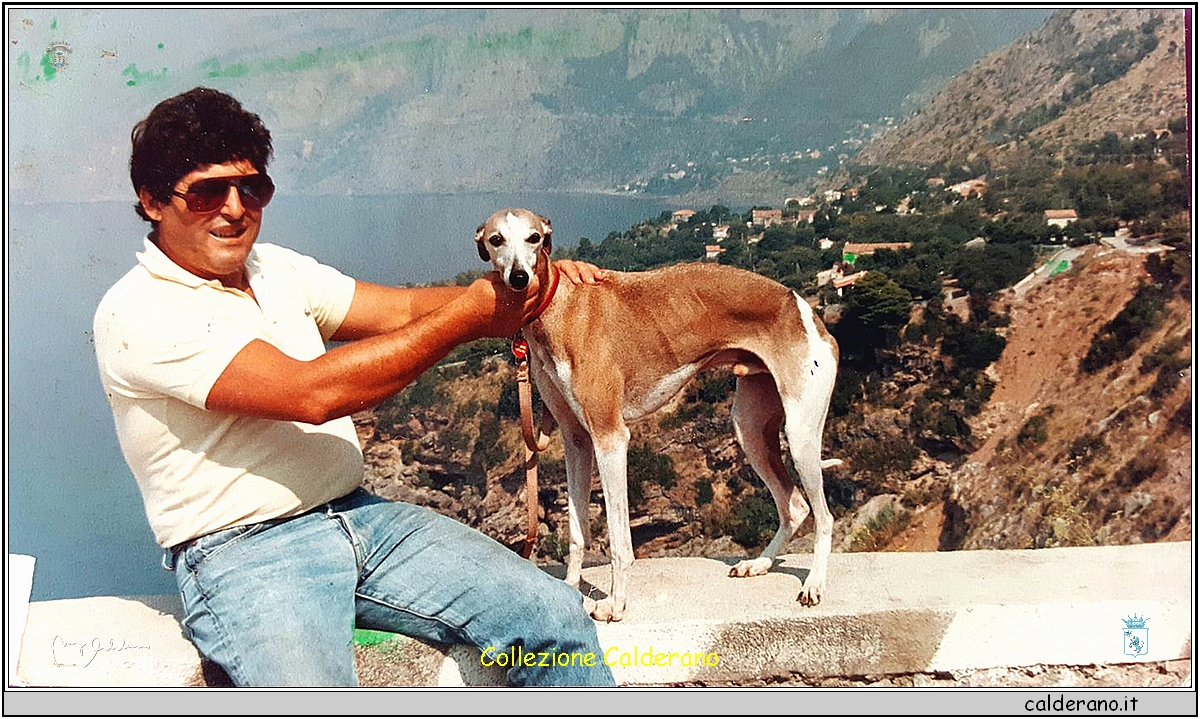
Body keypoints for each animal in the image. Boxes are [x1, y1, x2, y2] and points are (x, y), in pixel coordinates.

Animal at [472, 210, 840, 624]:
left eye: (534, 238)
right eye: (496, 240)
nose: (519, 277)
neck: (561, 309)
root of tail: (801, 307)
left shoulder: (610, 438)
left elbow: (619, 541)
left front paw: (615, 603)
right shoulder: (576, 440)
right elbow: (577, 532)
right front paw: (568, 589)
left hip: (801, 434)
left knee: (824, 515)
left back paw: (813, 585)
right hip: (750, 430)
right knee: (794, 506)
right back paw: (758, 564)